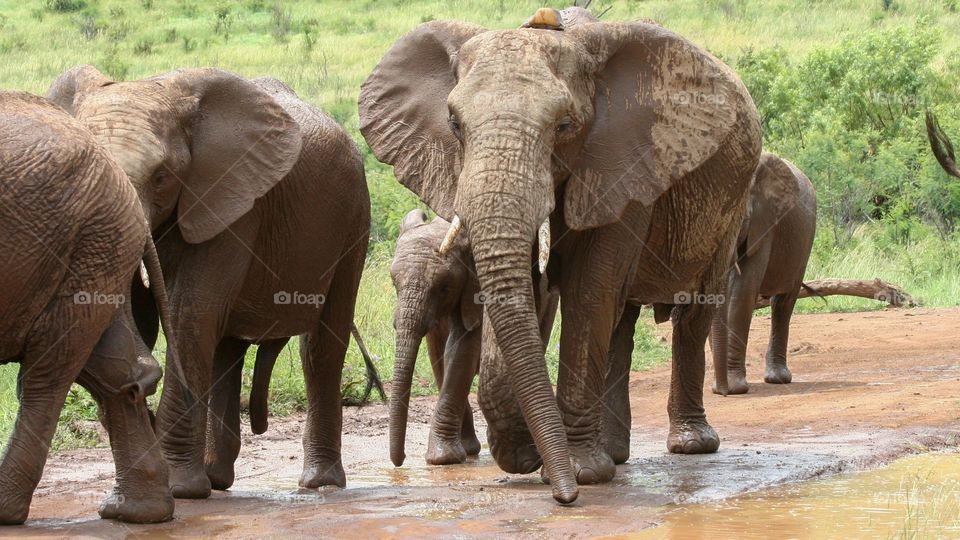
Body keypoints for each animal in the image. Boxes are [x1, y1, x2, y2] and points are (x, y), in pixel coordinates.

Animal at [48, 68, 370, 499]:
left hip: (353, 217)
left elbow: (189, 313)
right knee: (225, 350)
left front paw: (178, 489)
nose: (143, 386)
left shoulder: (232, 204)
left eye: (162, 177)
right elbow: (144, 319)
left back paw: (319, 483)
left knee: (321, 347)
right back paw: (216, 478)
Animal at [388, 209, 560, 466]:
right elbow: (439, 355)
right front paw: (463, 451)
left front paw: (443, 459)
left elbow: (463, 348)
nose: (400, 461)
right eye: (393, 282)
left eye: (444, 287)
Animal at [710, 152, 817, 395]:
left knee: (783, 303)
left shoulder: (764, 223)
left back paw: (778, 379)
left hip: (806, 240)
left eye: (740, 220)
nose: (721, 391)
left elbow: (743, 292)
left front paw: (736, 388)